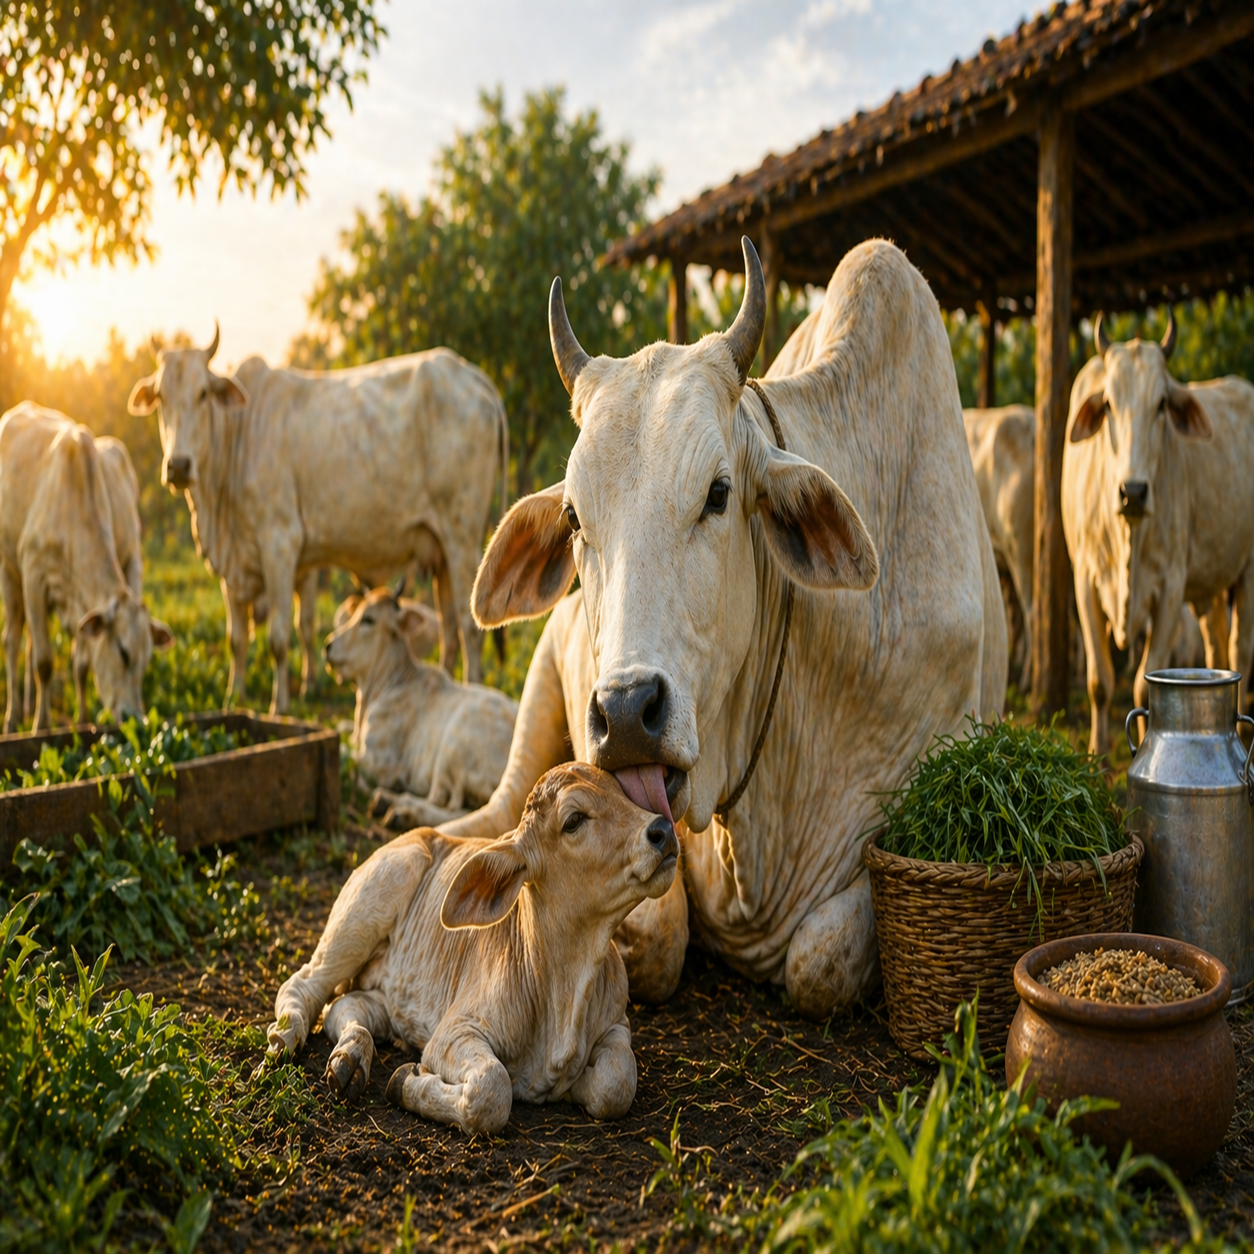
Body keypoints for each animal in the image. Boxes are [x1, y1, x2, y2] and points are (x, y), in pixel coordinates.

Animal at [0, 404, 173, 732]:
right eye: (123, 652)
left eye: (146, 660)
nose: (136, 719)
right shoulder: (33, 574)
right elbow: (44, 661)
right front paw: (42, 726)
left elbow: (80, 665)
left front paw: (81, 721)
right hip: (9, 574)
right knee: (14, 642)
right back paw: (15, 718)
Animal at [127, 329, 508, 713]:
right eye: (160, 396)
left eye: (203, 393)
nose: (178, 465)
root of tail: (476, 378)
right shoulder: (241, 567)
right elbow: (244, 638)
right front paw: (236, 698)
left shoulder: (279, 546)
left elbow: (279, 638)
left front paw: (279, 705)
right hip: (441, 549)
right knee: (449, 630)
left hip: (462, 538)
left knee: (470, 627)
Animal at [266, 762, 679, 1134]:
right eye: (574, 819)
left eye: (623, 792)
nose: (663, 829)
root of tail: (415, 836)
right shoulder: (453, 1032)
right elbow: (492, 1091)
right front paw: (405, 1083)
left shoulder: (617, 1024)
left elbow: (617, 1082)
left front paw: (577, 1086)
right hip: (362, 914)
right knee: (304, 984)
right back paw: (287, 1037)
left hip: (388, 995)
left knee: (345, 1007)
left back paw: (350, 1058)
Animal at [324, 584, 517, 829]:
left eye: (368, 619)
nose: (328, 645)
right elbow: (340, 729)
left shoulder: (377, 763)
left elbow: (344, 755)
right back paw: (386, 801)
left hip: (453, 747)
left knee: (463, 810)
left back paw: (403, 810)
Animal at [1062, 314, 1254, 754]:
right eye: (1108, 404)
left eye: (1162, 404)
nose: (1132, 492)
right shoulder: (1084, 580)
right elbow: (1099, 680)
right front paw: (1096, 756)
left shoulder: (1169, 587)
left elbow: (1141, 684)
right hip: (1208, 590)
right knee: (1217, 644)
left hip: (1249, 570)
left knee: (1241, 649)